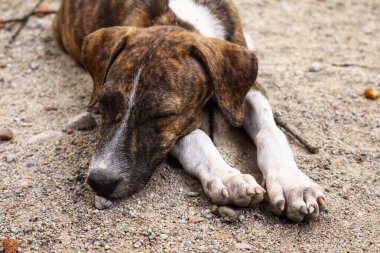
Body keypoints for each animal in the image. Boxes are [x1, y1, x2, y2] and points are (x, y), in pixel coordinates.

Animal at [54, 0, 326, 221]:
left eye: (163, 116)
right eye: (103, 104)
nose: (100, 181)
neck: (179, 19)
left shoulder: (243, 91)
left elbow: (271, 132)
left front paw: (293, 184)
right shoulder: (180, 128)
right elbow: (198, 140)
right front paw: (229, 177)